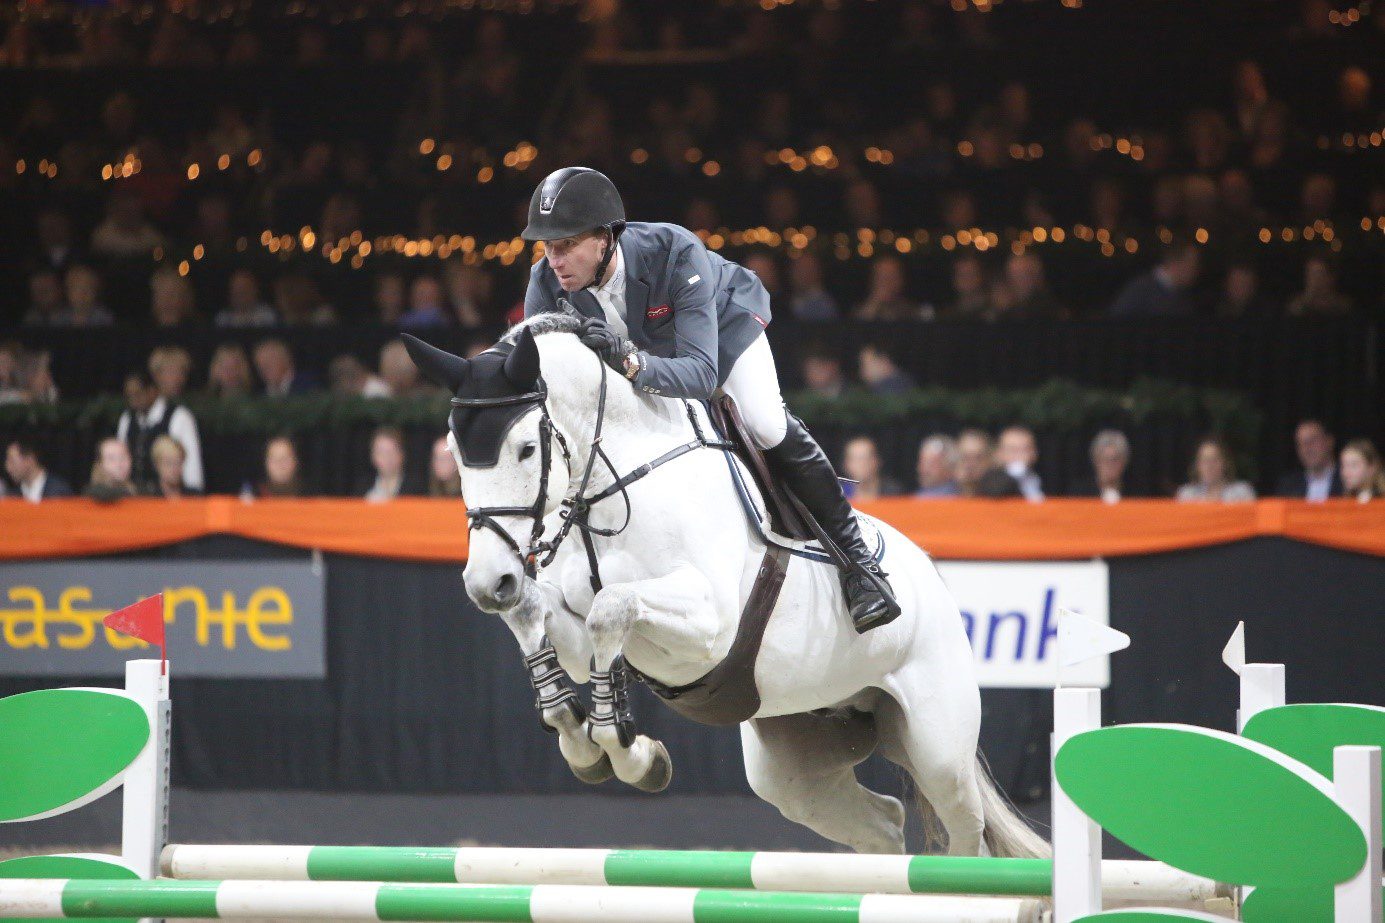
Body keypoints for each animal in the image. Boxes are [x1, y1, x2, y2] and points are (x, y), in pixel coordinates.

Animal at [404, 314, 1047, 859]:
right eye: (454, 451)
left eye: (525, 449)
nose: (489, 583)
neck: (611, 487)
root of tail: (934, 577)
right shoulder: (577, 629)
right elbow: (542, 619)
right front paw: (582, 737)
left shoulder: (709, 626)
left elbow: (613, 606)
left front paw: (630, 752)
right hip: (797, 761)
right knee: (883, 824)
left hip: (938, 748)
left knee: (967, 836)